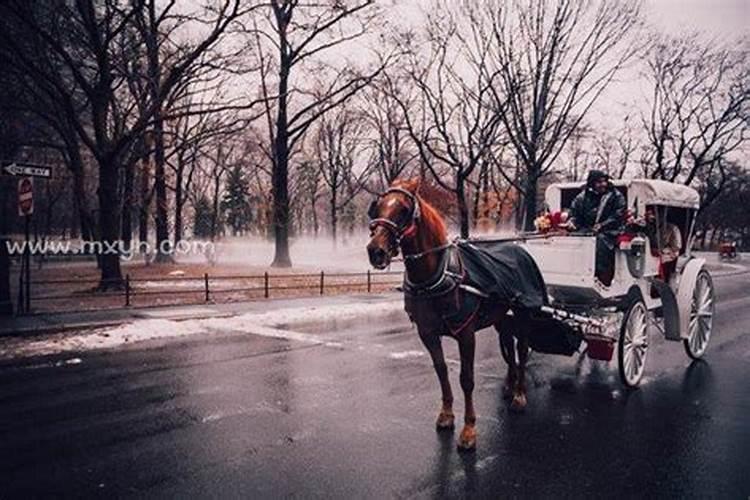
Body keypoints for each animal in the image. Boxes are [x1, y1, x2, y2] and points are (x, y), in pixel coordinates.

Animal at [368, 178, 532, 452]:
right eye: (377, 207)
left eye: (404, 209)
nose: (375, 251)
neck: (438, 273)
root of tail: (517, 248)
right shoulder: (428, 333)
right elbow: (441, 370)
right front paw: (446, 414)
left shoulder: (466, 333)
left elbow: (467, 378)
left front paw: (469, 429)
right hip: (502, 318)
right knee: (508, 344)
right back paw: (510, 385)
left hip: (522, 315)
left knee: (521, 349)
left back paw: (519, 394)